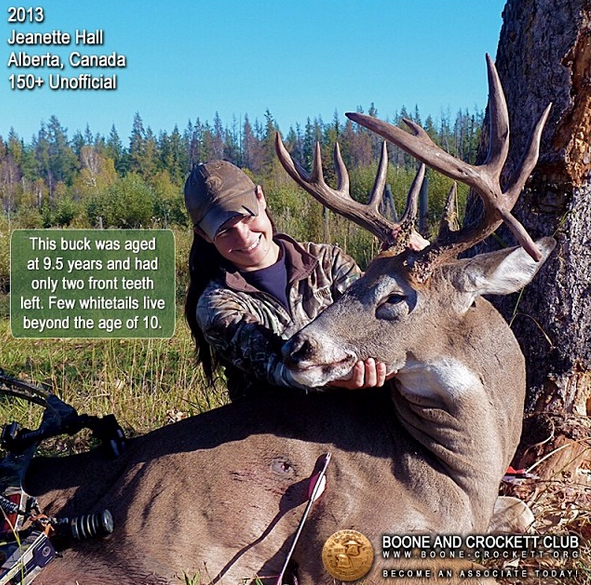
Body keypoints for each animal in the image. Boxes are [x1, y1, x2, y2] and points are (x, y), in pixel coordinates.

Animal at [19, 56, 556, 584]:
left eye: (394, 297)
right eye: (360, 284)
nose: (298, 347)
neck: (458, 473)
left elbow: (523, 512)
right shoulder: (346, 533)